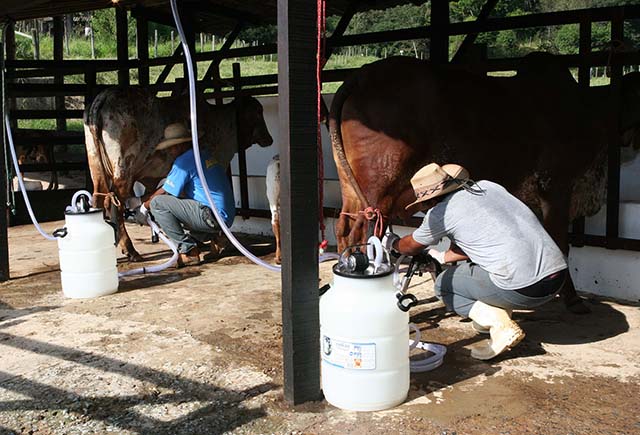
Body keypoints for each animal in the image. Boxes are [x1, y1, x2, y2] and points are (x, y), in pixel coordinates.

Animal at [83, 87, 272, 260]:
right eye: (257, 112)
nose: (269, 139)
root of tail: (104, 96)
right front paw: (218, 241)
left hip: (97, 169)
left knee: (100, 200)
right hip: (123, 170)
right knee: (116, 204)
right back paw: (131, 250)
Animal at [330, 54, 640, 316]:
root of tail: (362, 75)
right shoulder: (557, 186)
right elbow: (561, 246)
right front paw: (573, 300)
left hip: (351, 187)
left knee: (344, 228)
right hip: (378, 187)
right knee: (361, 231)